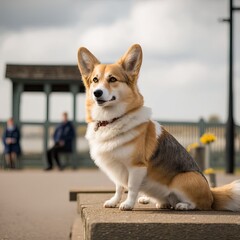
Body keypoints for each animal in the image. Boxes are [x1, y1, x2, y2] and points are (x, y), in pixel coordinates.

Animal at [77, 44, 240, 211]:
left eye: (112, 79)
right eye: (95, 80)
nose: (97, 93)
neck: (111, 119)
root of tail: (212, 194)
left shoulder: (136, 167)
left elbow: (131, 187)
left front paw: (128, 204)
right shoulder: (118, 169)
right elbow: (119, 187)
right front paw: (114, 201)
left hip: (183, 178)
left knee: (200, 204)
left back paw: (183, 205)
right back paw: (156, 201)